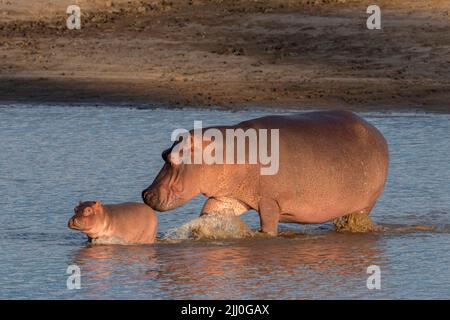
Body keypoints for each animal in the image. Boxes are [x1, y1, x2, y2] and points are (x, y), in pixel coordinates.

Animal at [142, 110, 388, 235]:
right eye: (164, 153)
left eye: (172, 159)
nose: (145, 194)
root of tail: (377, 133)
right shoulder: (227, 198)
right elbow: (209, 213)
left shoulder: (270, 202)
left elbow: (268, 226)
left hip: (366, 202)